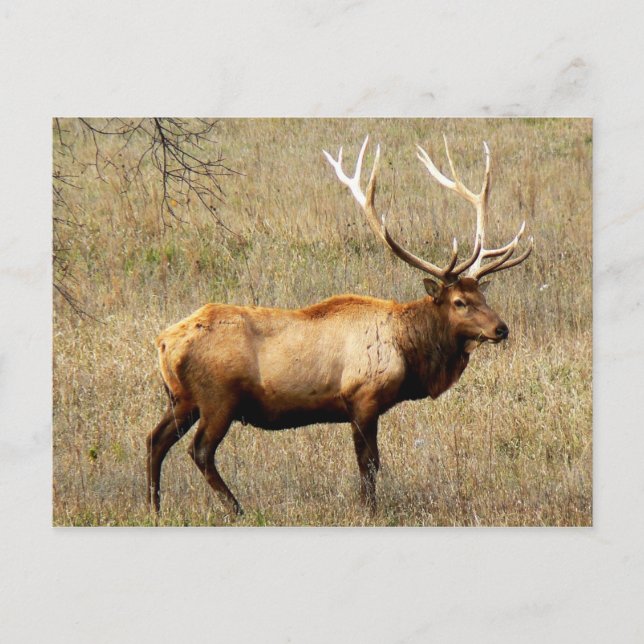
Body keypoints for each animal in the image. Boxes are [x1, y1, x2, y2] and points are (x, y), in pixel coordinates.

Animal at [146, 135, 532, 516]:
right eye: (459, 302)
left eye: (482, 294)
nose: (501, 328)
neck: (409, 353)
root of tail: (164, 341)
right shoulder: (362, 397)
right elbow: (369, 463)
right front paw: (369, 510)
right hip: (217, 398)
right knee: (199, 450)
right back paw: (236, 508)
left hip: (182, 398)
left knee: (154, 440)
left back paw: (154, 506)